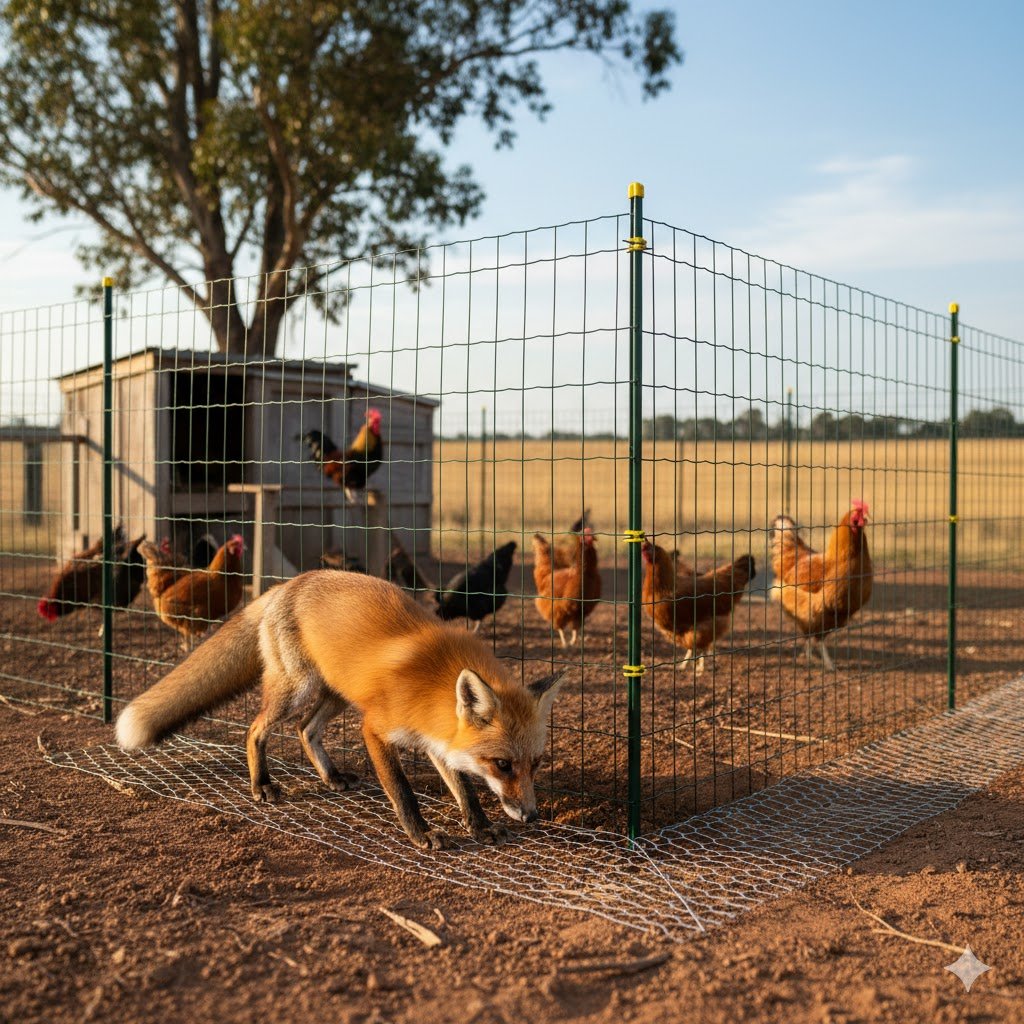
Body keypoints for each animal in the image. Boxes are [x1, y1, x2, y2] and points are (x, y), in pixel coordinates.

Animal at [115, 570, 565, 851]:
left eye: (536, 764)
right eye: (502, 765)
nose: (530, 816)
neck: (431, 683)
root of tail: (287, 585)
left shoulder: (437, 740)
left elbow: (465, 790)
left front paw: (482, 827)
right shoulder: (375, 729)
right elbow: (402, 791)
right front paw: (421, 835)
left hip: (337, 692)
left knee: (304, 729)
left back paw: (331, 778)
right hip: (298, 690)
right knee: (256, 729)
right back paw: (262, 785)